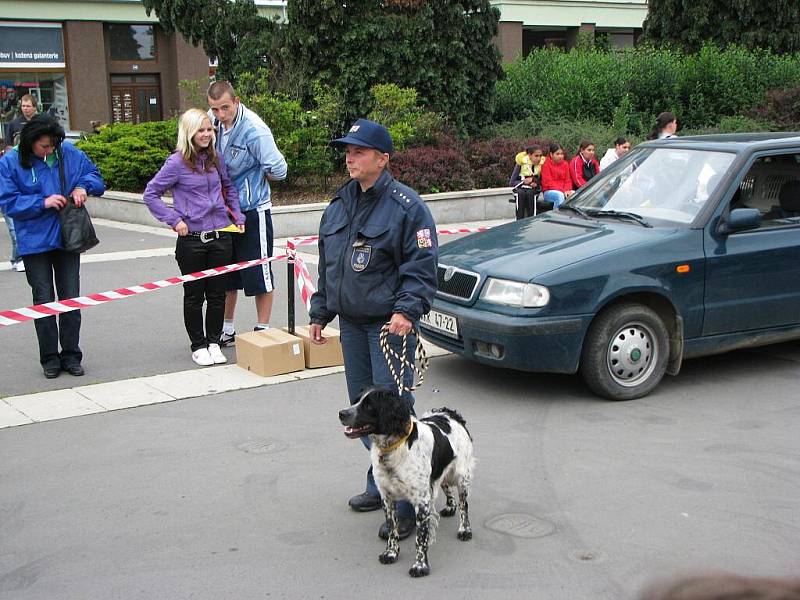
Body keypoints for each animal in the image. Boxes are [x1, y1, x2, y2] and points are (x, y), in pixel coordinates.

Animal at [340, 386, 476, 580]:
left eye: (368, 405)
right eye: (356, 401)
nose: (341, 413)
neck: (393, 448)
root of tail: (450, 413)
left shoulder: (422, 501)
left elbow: (420, 537)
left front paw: (420, 566)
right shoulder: (387, 497)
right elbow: (392, 528)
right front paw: (391, 553)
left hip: (461, 476)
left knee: (464, 505)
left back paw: (464, 530)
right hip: (440, 471)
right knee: (446, 487)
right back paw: (450, 507)